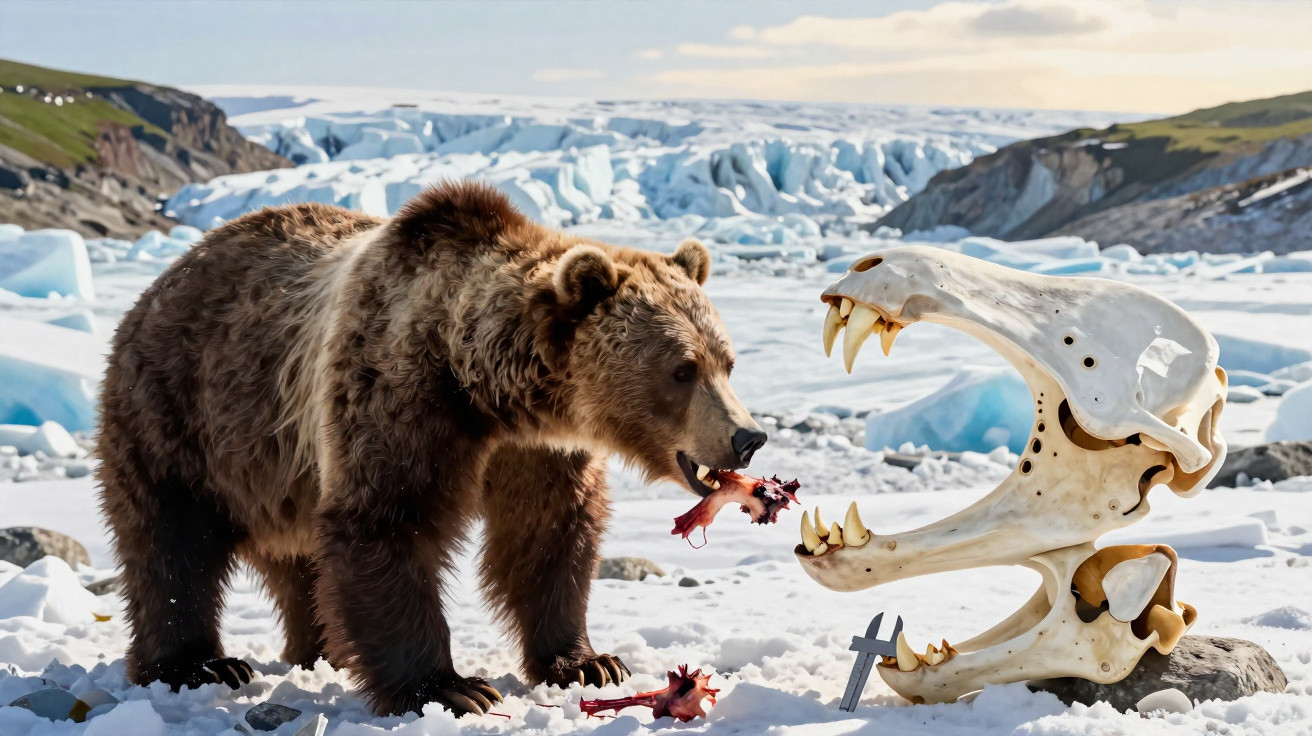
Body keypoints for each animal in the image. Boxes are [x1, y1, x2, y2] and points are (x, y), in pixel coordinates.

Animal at [96, 181, 767, 716]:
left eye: (727, 361)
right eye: (681, 369)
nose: (748, 437)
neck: (489, 390)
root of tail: (169, 274)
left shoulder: (539, 453)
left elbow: (549, 537)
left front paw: (588, 661)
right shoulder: (400, 397)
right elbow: (387, 523)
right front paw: (451, 687)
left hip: (279, 467)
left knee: (297, 559)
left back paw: (321, 650)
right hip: (185, 411)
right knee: (172, 541)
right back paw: (199, 664)